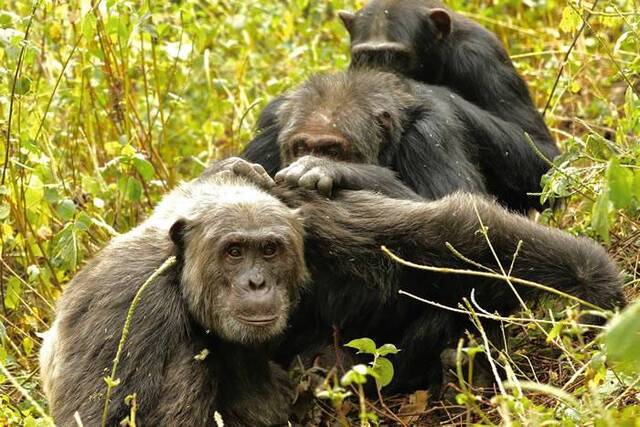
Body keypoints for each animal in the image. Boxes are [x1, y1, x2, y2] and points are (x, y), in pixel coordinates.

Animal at [245, 70, 560, 214]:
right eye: (300, 147)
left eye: (331, 150)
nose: (306, 157)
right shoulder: (270, 132)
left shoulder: (430, 136)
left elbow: (465, 212)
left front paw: (326, 168)